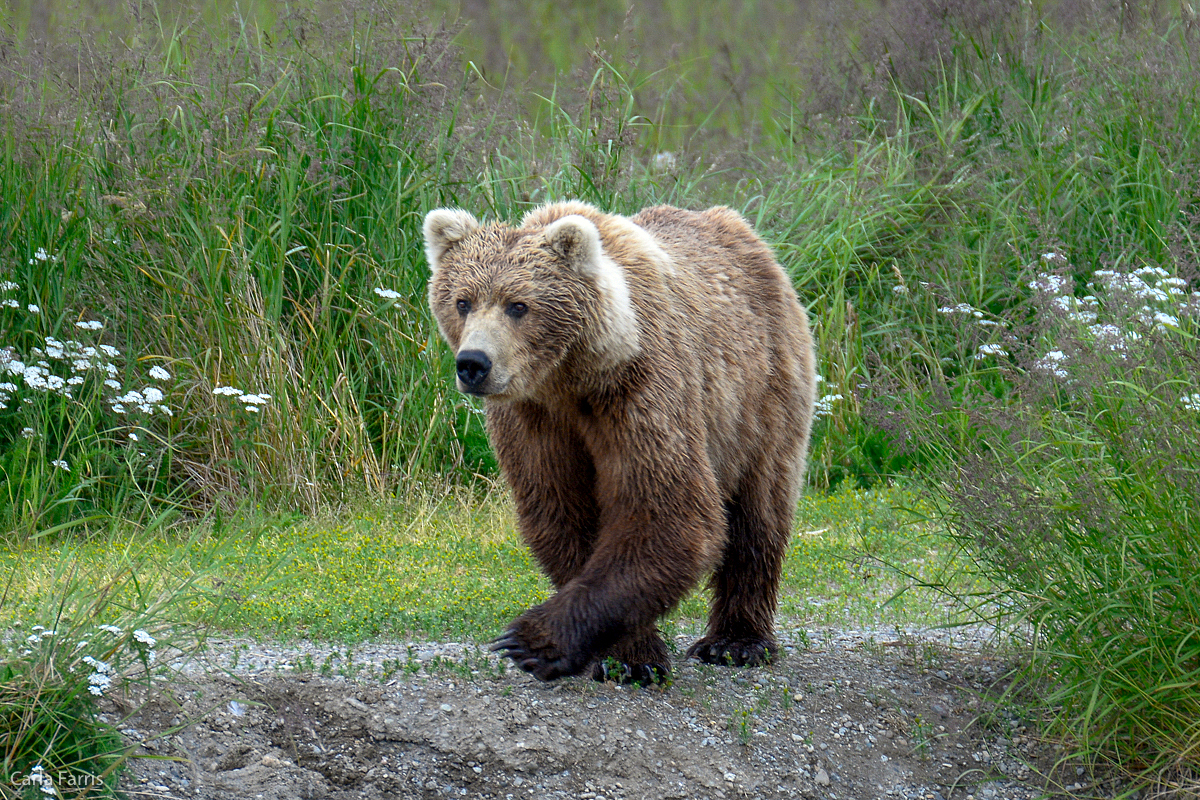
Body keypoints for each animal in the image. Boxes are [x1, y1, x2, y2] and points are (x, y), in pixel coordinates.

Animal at [422, 200, 816, 681]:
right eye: (462, 301)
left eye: (518, 305)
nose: (473, 364)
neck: (571, 378)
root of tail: (750, 239)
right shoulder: (533, 419)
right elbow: (561, 513)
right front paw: (627, 654)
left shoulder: (639, 391)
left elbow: (666, 510)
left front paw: (533, 641)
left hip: (761, 394)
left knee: (758, 512)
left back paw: (736, 642)